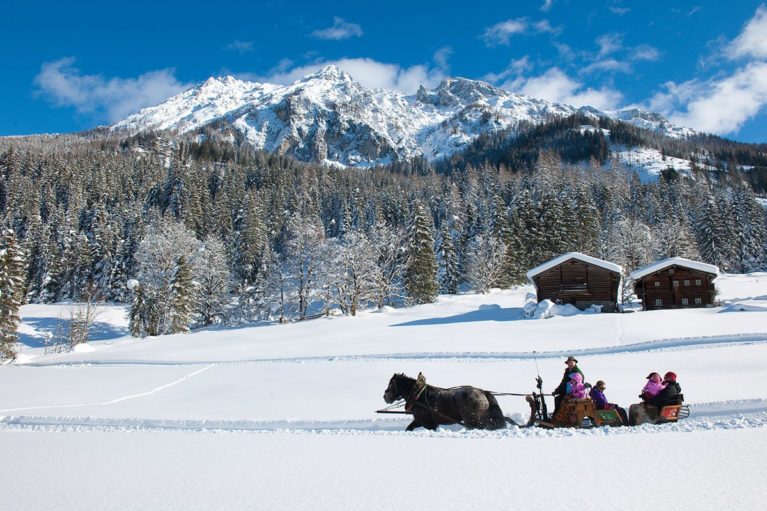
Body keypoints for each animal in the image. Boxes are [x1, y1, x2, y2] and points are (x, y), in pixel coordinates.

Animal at [382, 372, 516, 432]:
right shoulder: (420, 421)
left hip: (473, 420)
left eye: (391, 384)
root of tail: (483, 392)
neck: (419, 395)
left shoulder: (426, 423)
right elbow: (409, 427)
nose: (385, 396)